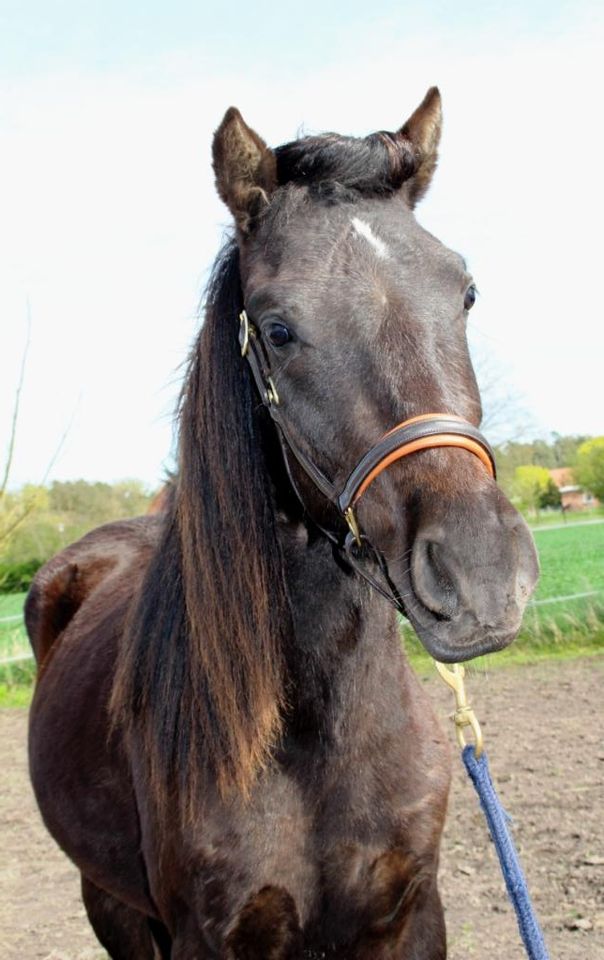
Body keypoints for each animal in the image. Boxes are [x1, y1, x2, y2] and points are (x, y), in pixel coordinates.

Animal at [26, 86, 540, 956]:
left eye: (464, 293)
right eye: (276, 329)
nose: (481, 576)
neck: (312, 740)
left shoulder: (410, 913)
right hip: (113, 906)